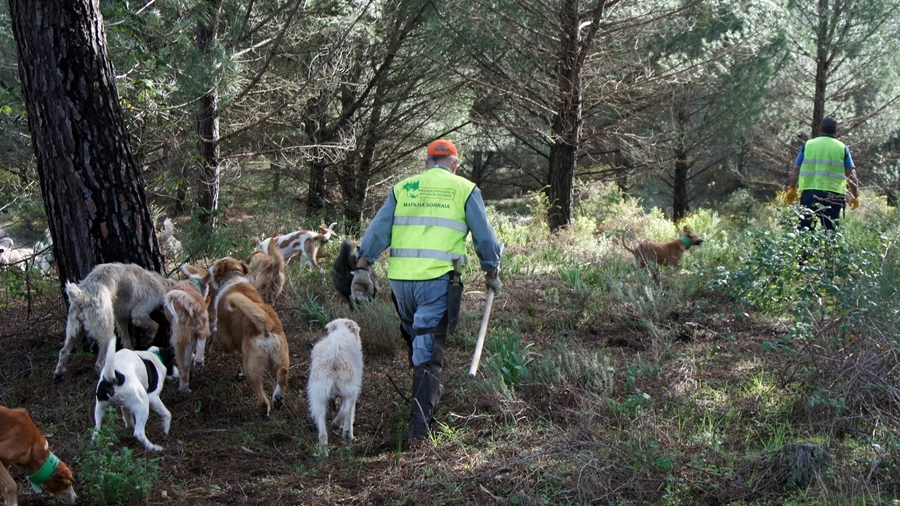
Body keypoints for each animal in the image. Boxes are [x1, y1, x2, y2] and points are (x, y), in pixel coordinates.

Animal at [162, 264, 211, 396]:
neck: (192, 282)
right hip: (200, 326)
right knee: (201, 339)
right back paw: (198, 362)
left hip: (178, 340)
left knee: (183, 368)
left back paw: (184, 387)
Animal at [210, 255, 288, 418]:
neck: (232, 277)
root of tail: (265, 323)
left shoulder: (225, 338)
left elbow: (218, 335)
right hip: (281, 354)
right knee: (283, 371)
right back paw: (278, 398)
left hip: (252, 366)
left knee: (260, 393)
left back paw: (264, 410)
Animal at [308, 320, 364, 458]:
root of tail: (334, 354)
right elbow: (349, 416)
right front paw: (348, 434)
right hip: (350, 390)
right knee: (345, 410)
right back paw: (338, 425)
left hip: (318, 398)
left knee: (322, 433)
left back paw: (323, 454)